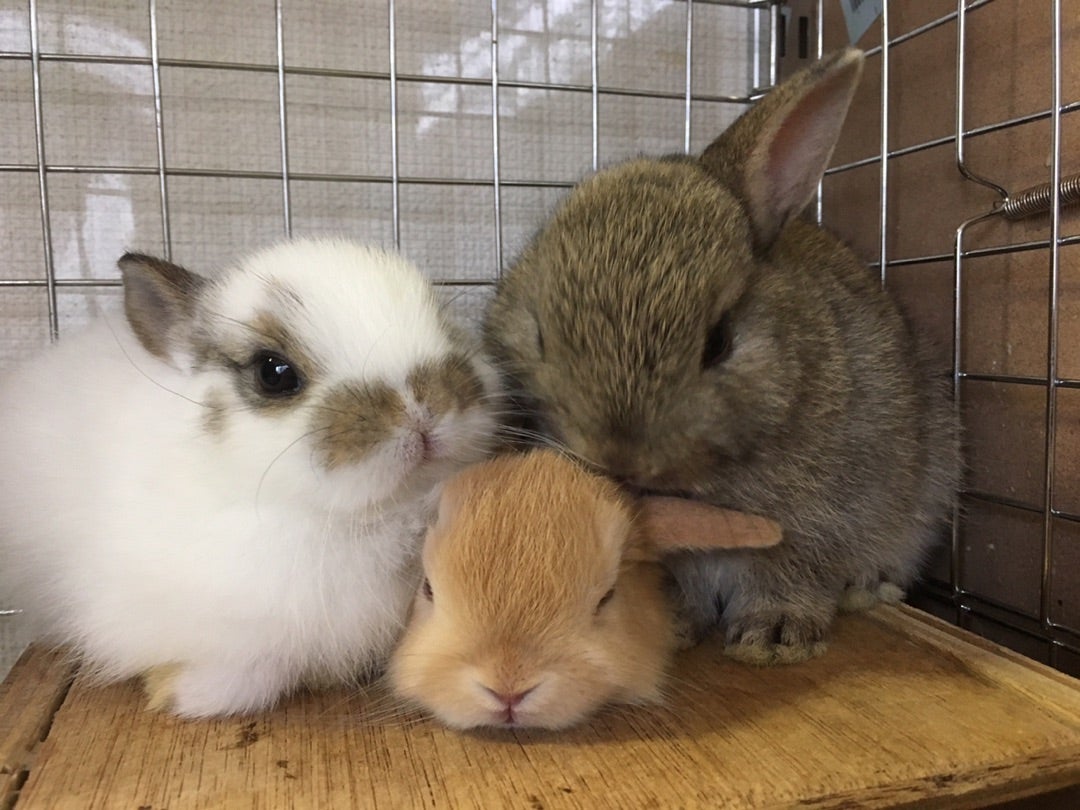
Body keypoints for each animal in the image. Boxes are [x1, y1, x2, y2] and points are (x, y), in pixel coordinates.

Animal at [486, 49, 959, 665]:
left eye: (720, 342)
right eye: (539, 333)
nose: (619, 459)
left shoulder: (823, 516)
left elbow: (791, 569)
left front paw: (773, 637)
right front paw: (673, 628)